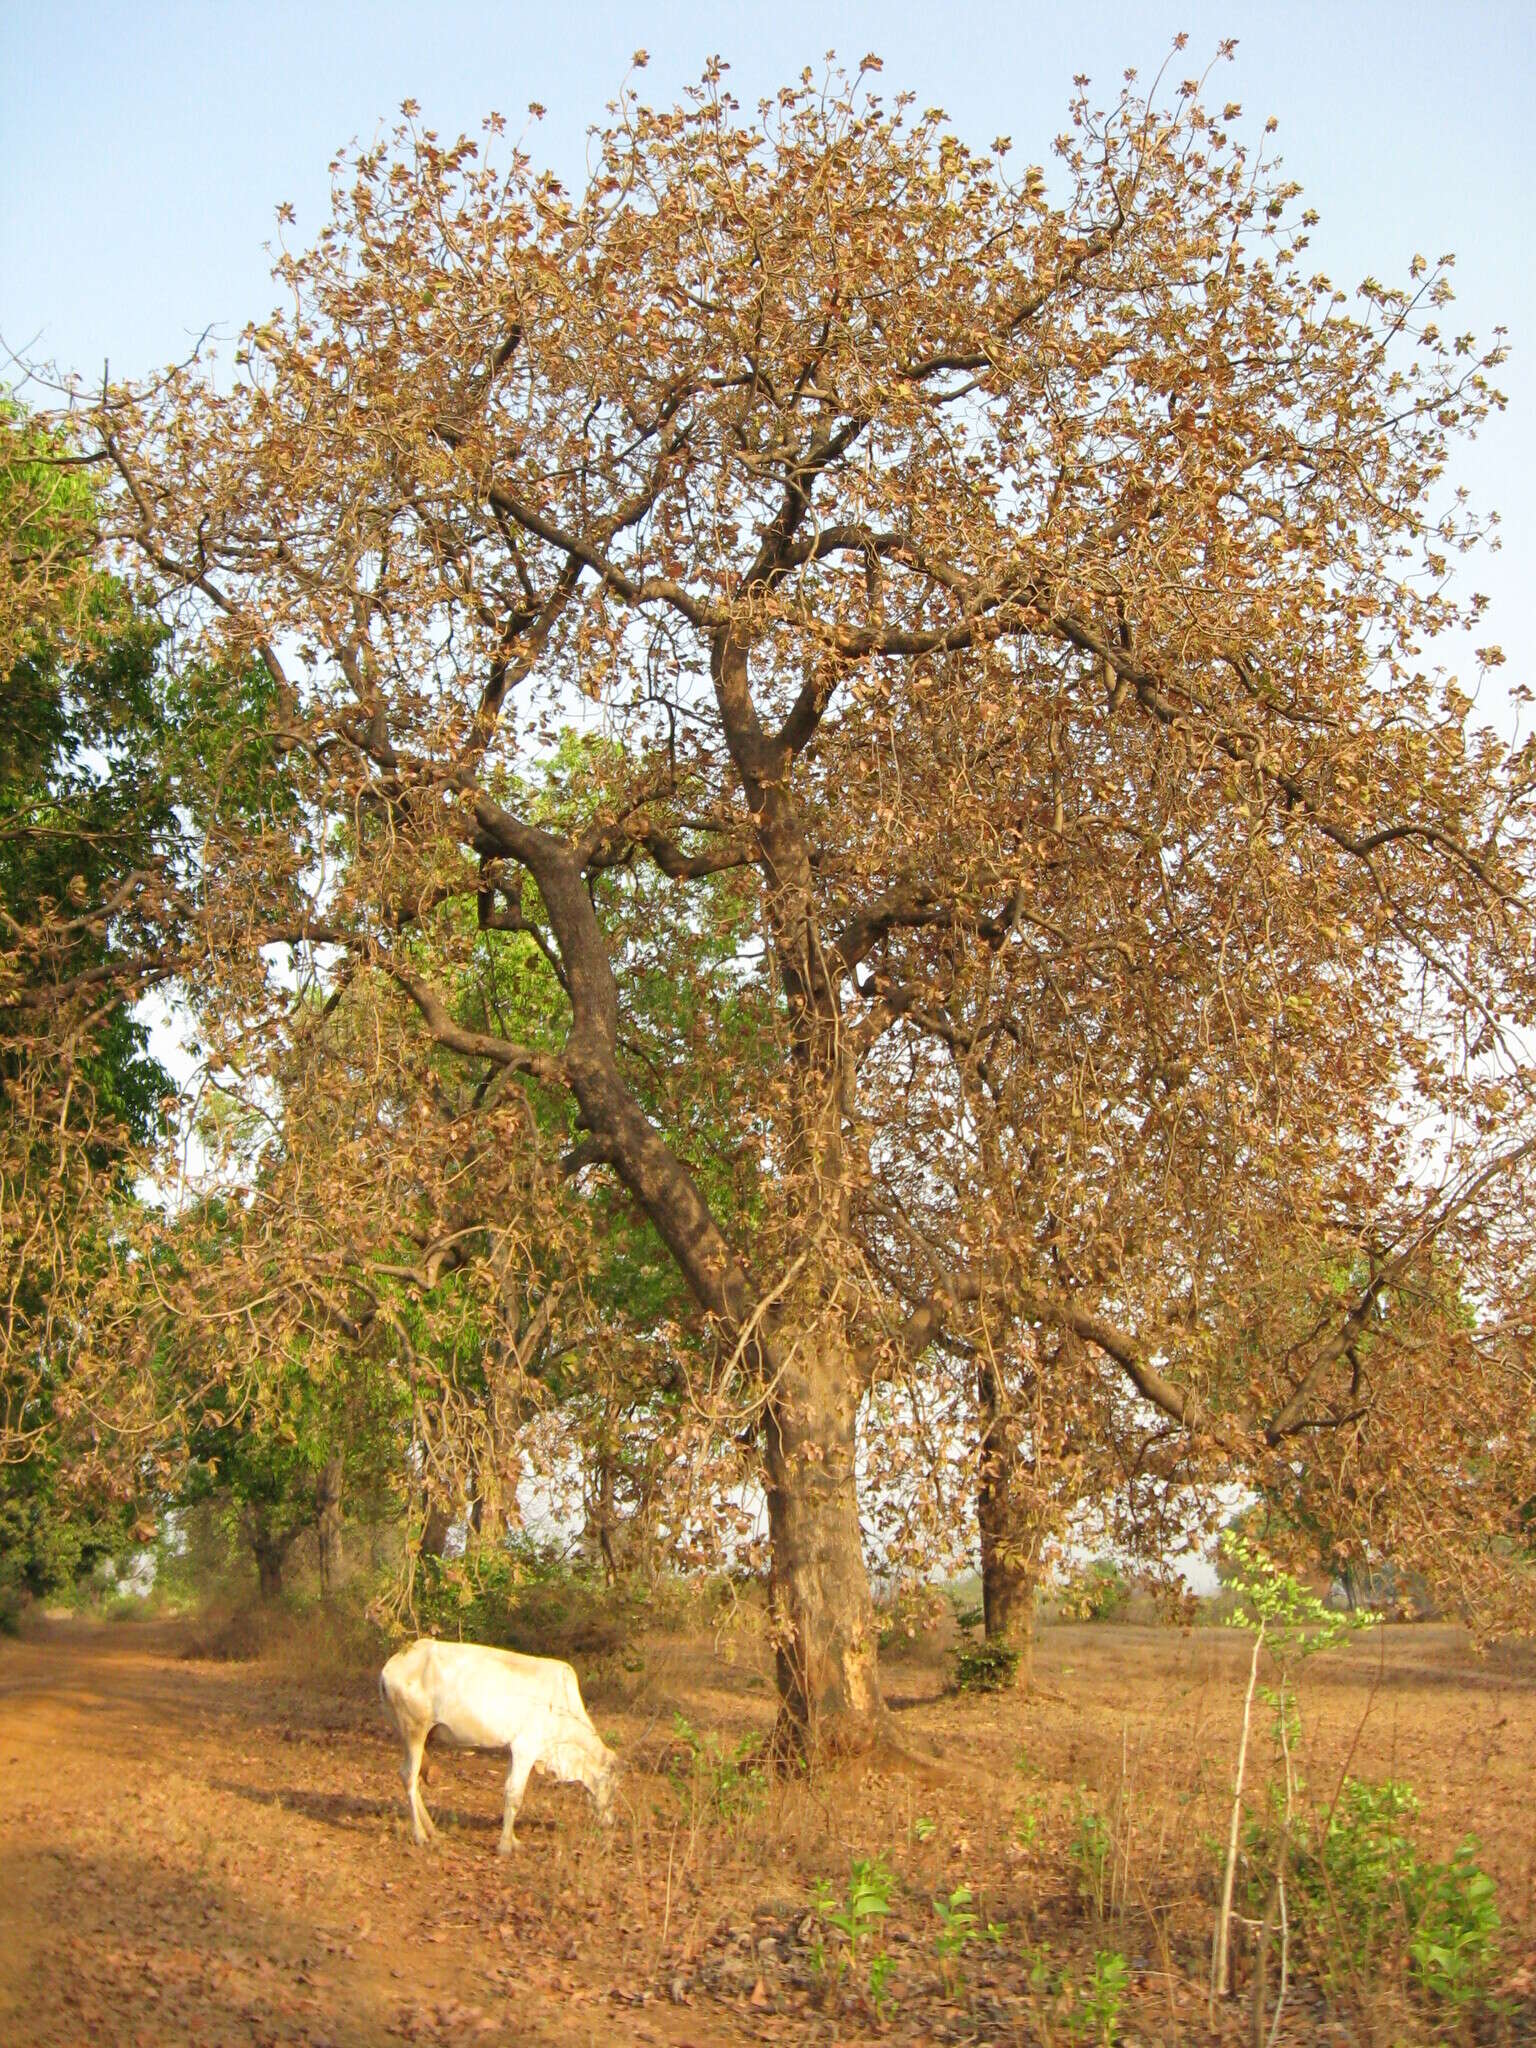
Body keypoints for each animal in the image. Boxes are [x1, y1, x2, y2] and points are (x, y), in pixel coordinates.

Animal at [380, 1630, 618, 1859]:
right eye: (611, 1785)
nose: (610, 1820)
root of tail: (390, 1666)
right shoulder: (526, 1748)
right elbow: (515, 1796)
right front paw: (504, 1847)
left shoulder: (515, 1751)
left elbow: (507, 1791)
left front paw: (514, 1841)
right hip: (415, 1730)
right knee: (409, 1776)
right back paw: (420, 1835)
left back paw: (433, 1831)